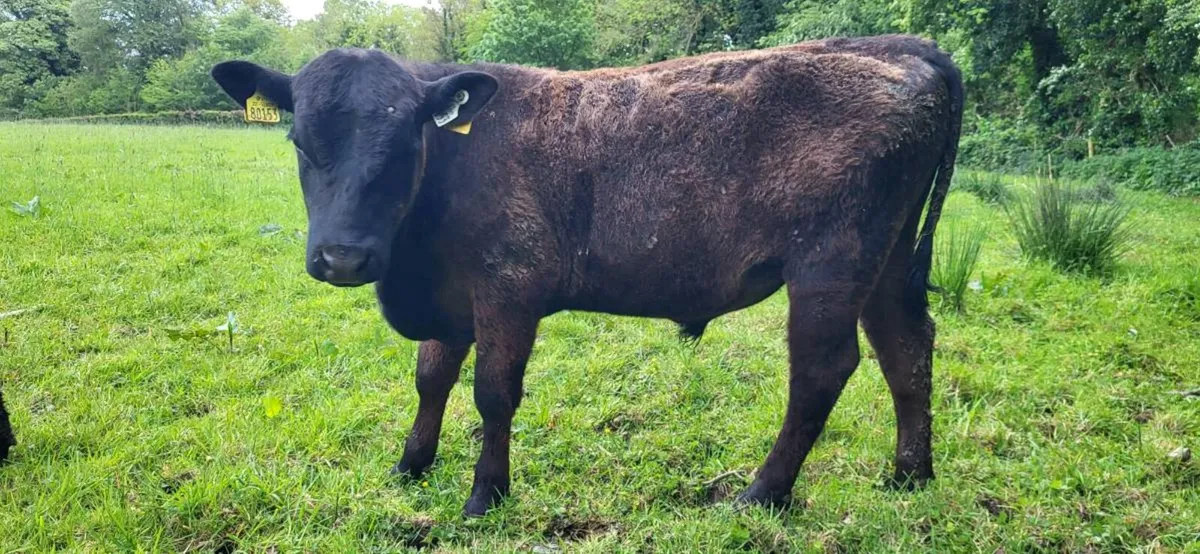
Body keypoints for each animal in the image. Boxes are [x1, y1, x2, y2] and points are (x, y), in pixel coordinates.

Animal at [211, 34, 963, 516]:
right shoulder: (452, 298)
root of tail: (905, 46)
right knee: (906, 348)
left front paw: (485, 496)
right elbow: (431, 378)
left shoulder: (509, 287)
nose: (343, 258)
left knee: (822, 372)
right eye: (300, 140)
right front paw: (411, 465)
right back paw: (909, 475)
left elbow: (492, 394)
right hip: (887, 259)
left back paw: (760, 496)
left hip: (830, 264)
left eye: (404, 143)